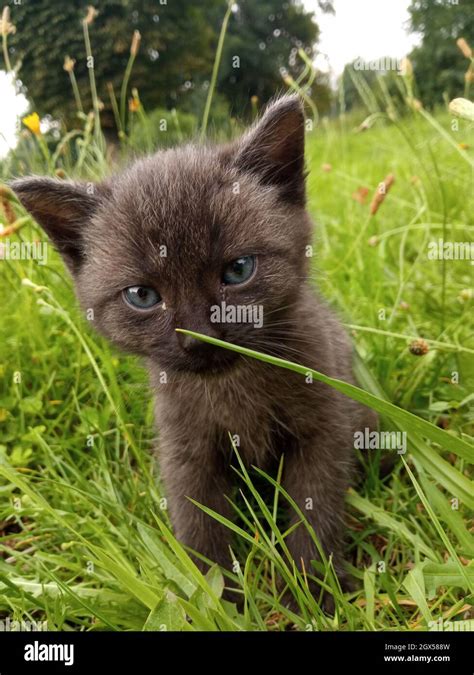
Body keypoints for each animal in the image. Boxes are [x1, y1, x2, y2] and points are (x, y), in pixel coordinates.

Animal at [12, 96, 374, 608]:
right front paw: (216, 600)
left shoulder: (324, 426)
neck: (233, 386)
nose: (199, 337)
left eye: (238, 269)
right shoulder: (184, 448)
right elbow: (197, 522)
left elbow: (315, 507)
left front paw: (312, 591)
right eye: (142, 296)